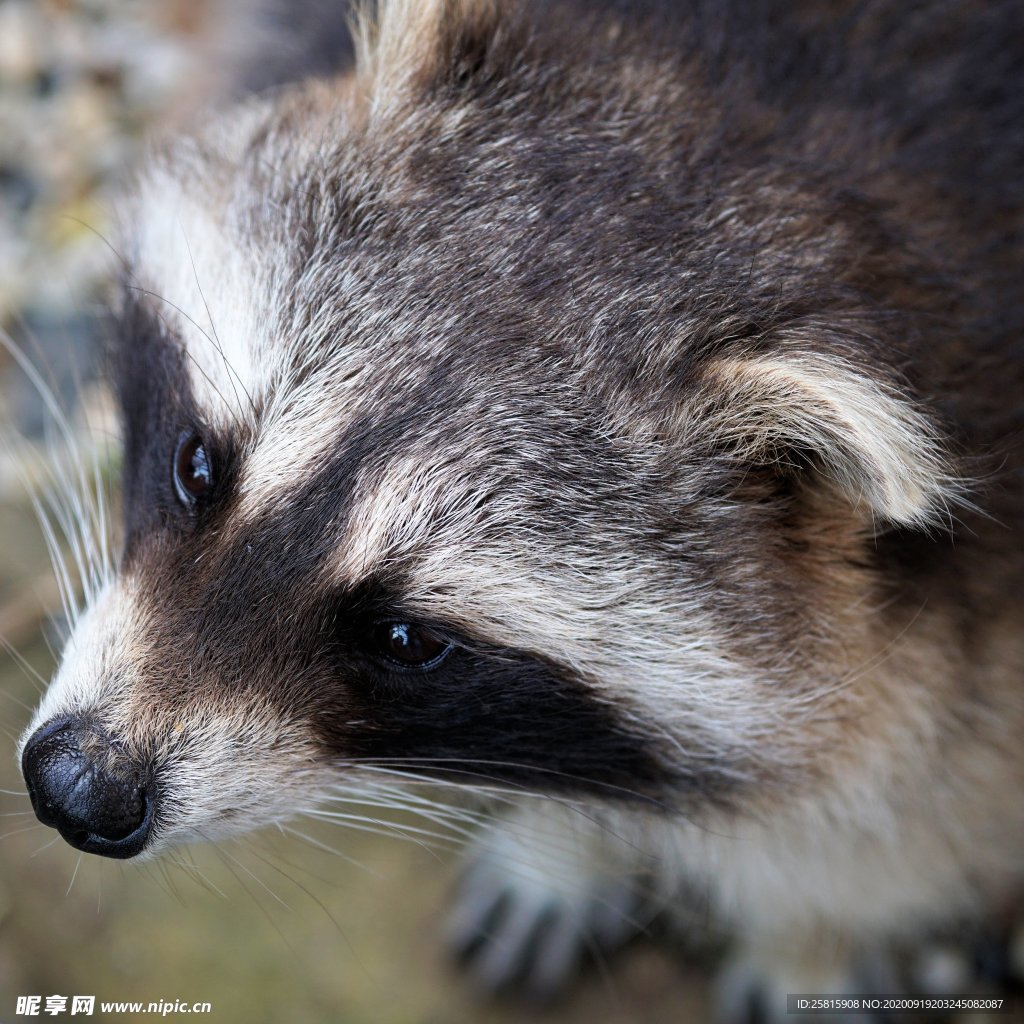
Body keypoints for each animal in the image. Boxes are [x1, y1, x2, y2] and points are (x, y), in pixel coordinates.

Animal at [18, 4, 1024, 1019]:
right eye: (198, 466)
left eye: (407, 639)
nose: (78, 789)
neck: (760, 134)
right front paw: (565, 845)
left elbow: (917, 798)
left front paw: (810, 935)